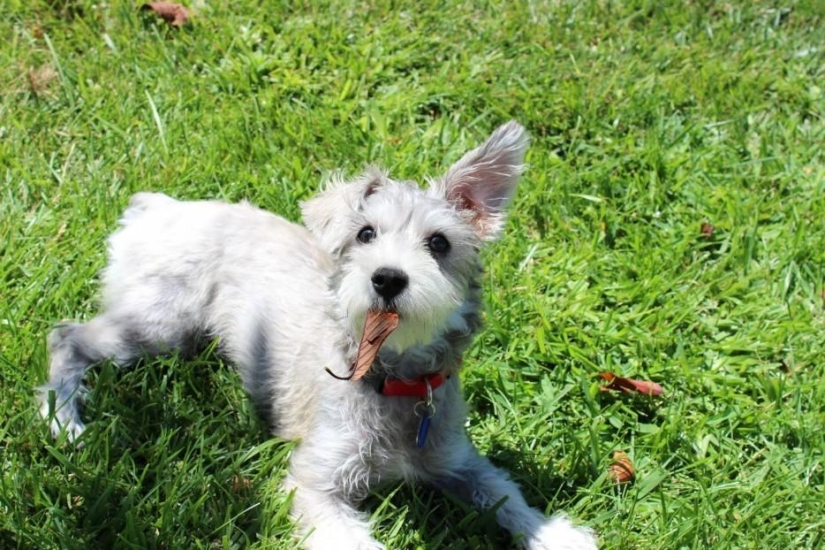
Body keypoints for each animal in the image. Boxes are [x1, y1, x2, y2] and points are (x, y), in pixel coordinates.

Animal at [40, 123, 592, 550]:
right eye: (365, 234)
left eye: (439, 243)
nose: (387, 278)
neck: (391, 379)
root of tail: (158, 208)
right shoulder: (314, 483)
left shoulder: (458, 461)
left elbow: (504, 492)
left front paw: (554, 533)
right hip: (158, 324)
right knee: (66, 337)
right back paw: (65, 421)